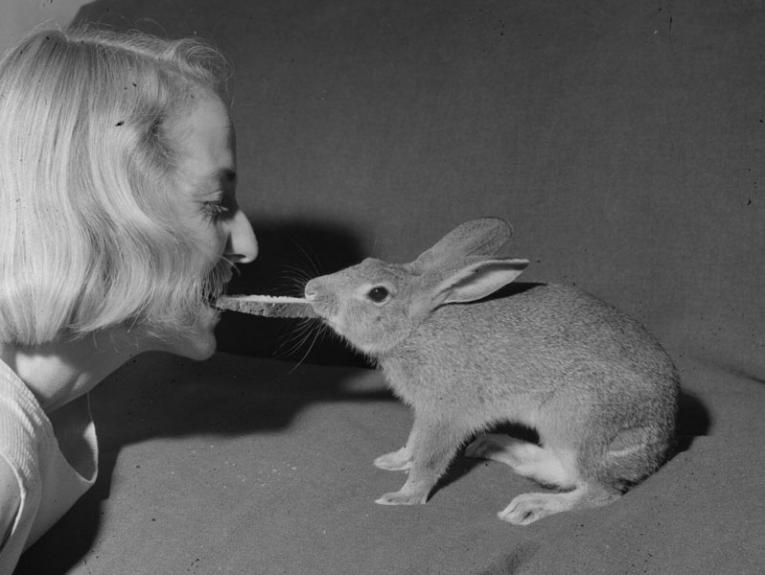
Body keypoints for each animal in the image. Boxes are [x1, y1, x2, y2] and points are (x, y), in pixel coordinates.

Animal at [302, 218, 676, 524]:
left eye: (378, 293)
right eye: (366, 263)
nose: (311, 289)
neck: (417, 328)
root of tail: (658, 448)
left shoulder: (446, 415)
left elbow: (429, 458)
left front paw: (403, 496)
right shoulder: (425, 412)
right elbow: (414, 441)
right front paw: (393, 460)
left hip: (579, 420)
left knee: (598, 490)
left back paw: (528, 506)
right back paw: (493, 445)